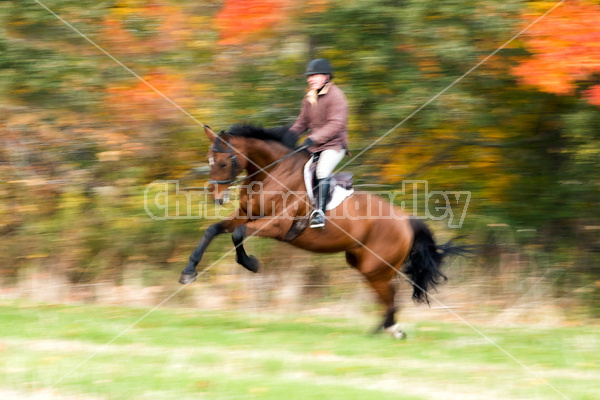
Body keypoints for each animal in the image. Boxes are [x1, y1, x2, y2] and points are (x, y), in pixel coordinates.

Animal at [179, 124, 460, 338]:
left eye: (223, 162)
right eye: (209, 161)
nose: (216, 197)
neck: (272, 173)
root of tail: (407, 220)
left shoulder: (276, 225)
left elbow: (237, 235)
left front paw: (252, 264)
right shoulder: (245, 216)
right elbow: (212, 230)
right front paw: (188, 272)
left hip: (375, 266)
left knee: (390, 293)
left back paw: (393, 330)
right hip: (363, 264)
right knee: (386, 294)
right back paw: (381, 329)